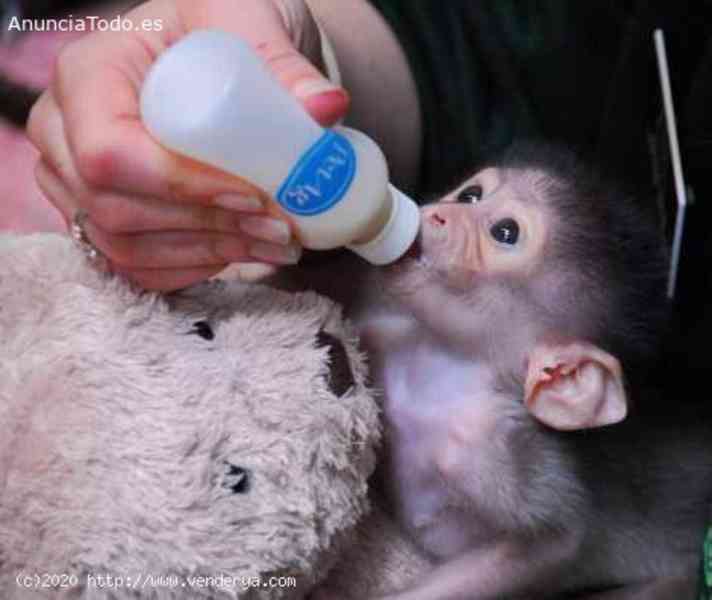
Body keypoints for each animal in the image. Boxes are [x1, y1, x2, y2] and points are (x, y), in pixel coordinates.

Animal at [292, 143, 708, 600]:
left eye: (506, 233)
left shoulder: (496, 450)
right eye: (471, 195)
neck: (435, 370)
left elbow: (553, 543)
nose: (440, 214)